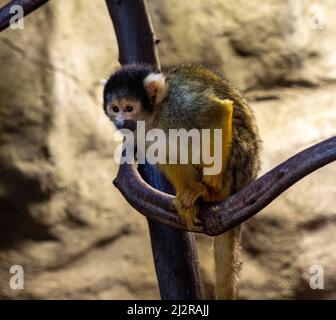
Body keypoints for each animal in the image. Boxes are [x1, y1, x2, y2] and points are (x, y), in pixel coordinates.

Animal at [103, 63, 262, 298]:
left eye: (129, 108)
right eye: (115, 108)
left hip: (240, 163)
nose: (121, 121)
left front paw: (212, 181)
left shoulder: (179, 105)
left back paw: (212, 193)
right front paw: (187, 200)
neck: (156, 114)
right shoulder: (141, 132)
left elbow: (217, 113)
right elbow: (163, 152)